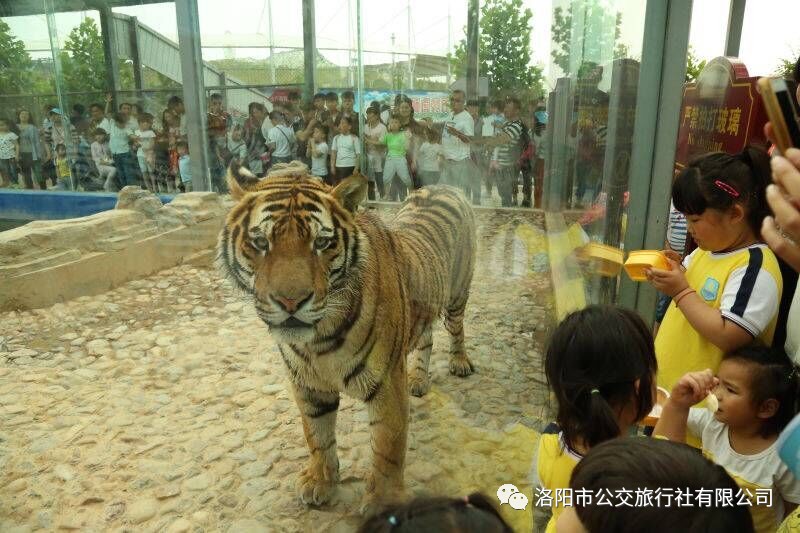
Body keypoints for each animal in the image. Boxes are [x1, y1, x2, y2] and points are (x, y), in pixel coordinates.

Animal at [216, 161, 476, 512]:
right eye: (260, 243)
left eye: (321, 243)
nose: (290, 302)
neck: (318, 339)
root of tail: (444, 185)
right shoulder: (308, 385)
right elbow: (317, 436)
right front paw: (320, 482)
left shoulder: (386, 383)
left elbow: (387, 448)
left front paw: (383, 502)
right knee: (426, 338)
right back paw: (419, 380)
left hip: (458, 295)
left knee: (456, 329)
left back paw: (460, 363)